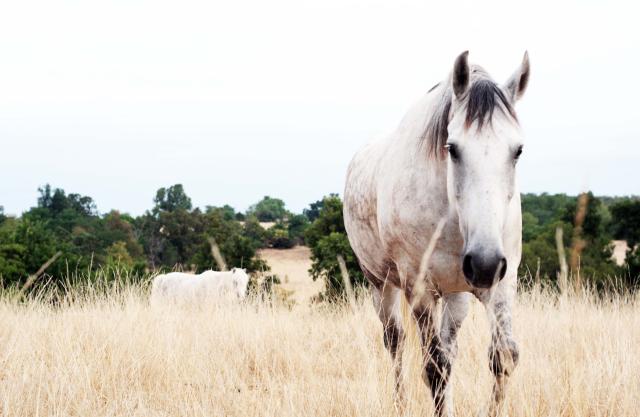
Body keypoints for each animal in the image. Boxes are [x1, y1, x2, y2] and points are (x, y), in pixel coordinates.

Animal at [344, 52, 528, 416]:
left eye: (518, 150)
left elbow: (502, 357)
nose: (484, 263)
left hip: (457, 295)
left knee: (450, 348)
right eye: (453, 149)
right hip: (380, 285)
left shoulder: (502, 283)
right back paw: (399, 403)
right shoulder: (420, 289)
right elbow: (434, 367)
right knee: (396, 342)